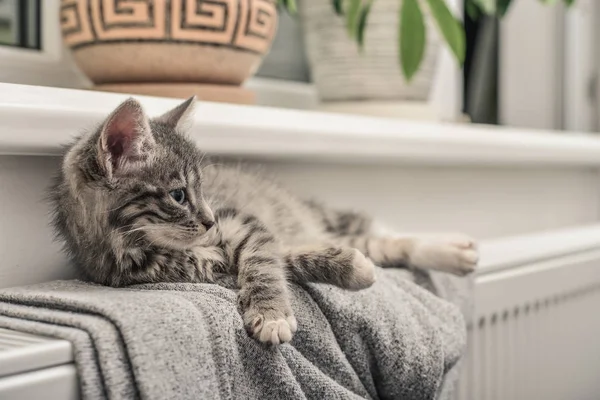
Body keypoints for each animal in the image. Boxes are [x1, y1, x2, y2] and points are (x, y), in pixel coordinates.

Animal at [51, 97, 480, 344]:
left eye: (205, 189)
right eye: (178, 196)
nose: (209, 220)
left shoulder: (245, 223)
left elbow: (264, 264)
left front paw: (272, 314)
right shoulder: (200, 267)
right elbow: (287, 260)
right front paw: (350, 267)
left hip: (318, 215)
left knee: (382, 234)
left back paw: (453, 249)